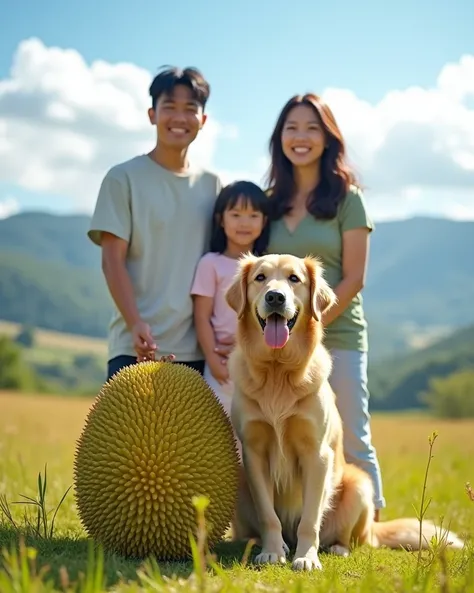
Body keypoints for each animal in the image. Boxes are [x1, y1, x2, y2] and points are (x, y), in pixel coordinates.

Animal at [225, 252, 462, 572]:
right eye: (260, 278)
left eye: (294, 278)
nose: (275, 297)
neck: (278, 372)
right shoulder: (254, 453)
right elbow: (268, 515)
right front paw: (273, 552)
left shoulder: (317, 454)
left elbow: (310, 519)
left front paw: (306, 557)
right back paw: (263, 544)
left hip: (359, 485)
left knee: (349, 538)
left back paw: (337, 548)